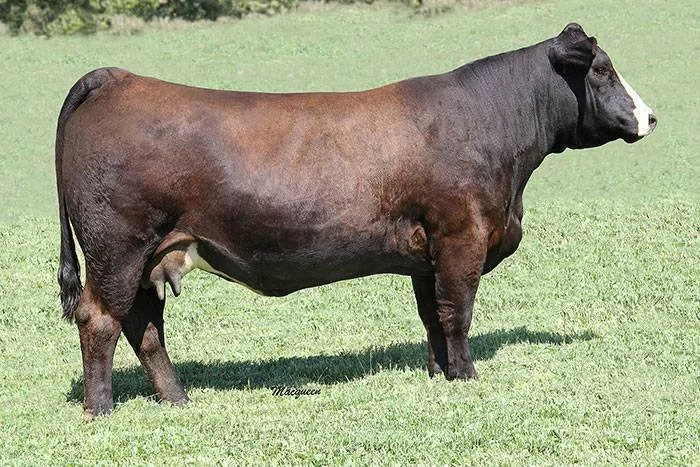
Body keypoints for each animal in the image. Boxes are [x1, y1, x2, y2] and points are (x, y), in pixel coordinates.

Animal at [56, 23, 656, 418]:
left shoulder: (425, 255)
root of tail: (119, 78)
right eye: (603, 70)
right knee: (100, 318)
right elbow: (457, 313)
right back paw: (101, 408)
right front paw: (466, 376)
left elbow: (431, 317)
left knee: (144, 325)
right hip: (118, 247)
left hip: (149, 255)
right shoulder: (460, 237)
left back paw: (178, 399)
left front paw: (439, 373)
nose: (651, 116)